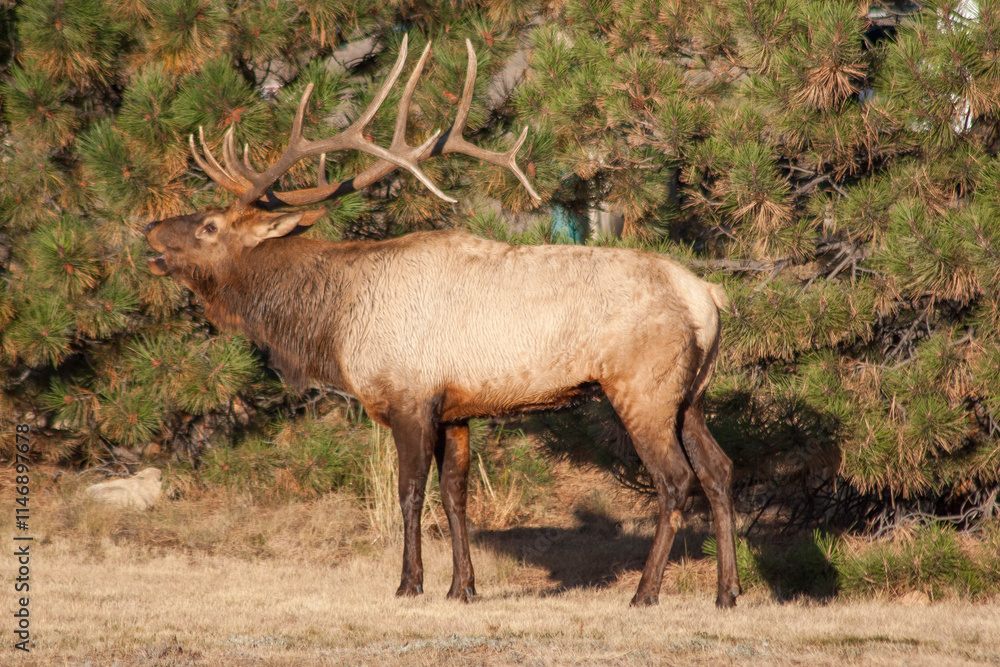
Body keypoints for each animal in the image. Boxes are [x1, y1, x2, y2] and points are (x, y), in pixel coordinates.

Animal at [144, 35, 742, 609]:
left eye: (210, 226)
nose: (150, 228)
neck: (335, 322)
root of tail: (707, 297)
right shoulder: (456, 408)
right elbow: (457, 495)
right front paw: (463, 587)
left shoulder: (409, 396)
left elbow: (410, 493)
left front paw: (409, 584)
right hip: (690, 394)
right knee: (719, 470)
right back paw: (727, 591)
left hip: (642, 386)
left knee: (675, 481)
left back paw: (645, 592)